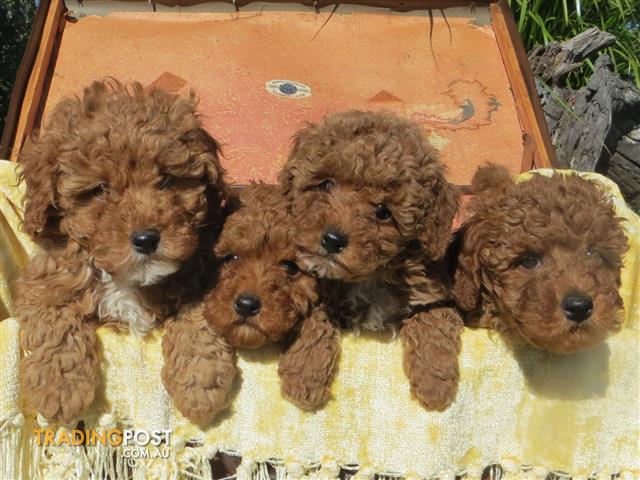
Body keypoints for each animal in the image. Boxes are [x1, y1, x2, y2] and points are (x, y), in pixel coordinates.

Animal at [15, 79, 226, 424]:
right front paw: (59, 389)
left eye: (166, 180)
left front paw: (200, 386)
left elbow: (199, 320)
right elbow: (55, 325)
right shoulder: (48, 278)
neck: (126, 278)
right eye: (100, 189)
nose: (146, 239)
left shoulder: (203, 273)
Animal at [161, 184, 336, 424]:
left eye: (290, 267)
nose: (246, 304)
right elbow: (194, 330)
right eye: (231, 257)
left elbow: (317, 321)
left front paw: (304, 373)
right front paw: (199, 392)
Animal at [278, 110, 462, 410]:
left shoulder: (432, 293)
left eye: (383, 212)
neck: (371, 276)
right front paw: (303, 376)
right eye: (326, 184)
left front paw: (435, 385)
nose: (332, 240)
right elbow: (314, 321)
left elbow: (434, 327)